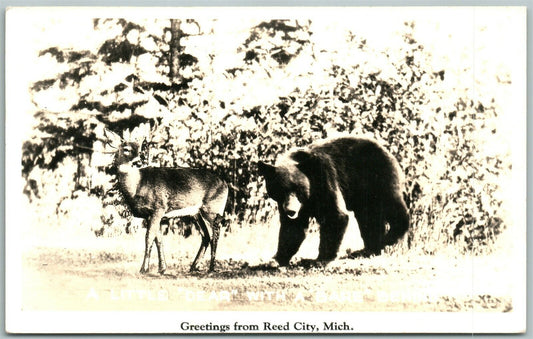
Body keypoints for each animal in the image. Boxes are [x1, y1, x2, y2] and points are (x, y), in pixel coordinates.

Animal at [104, 129, 229, 274]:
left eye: (140, 149)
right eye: (126, 149)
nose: (138, 161)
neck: (137, 186)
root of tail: (225, 184)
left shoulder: (159, 208)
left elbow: (149, 237)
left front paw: (144, 269)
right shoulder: (150, 214)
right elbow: (158, 240)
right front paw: (162, 268)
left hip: (212, 209)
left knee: (216, 234)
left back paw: (211, 267)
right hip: (196, 213)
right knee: (206, 236)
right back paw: (193, 267)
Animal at [256, 137, 408, 266]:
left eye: (298, 190)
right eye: (281, 190)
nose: (291, 210)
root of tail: (388, 151)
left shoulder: (324, 177)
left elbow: (335, 215)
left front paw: (319, 259)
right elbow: (293, 227)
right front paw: (276, 259)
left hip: (379, 177)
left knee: (392, 207)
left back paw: (389, 237)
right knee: (368, 218)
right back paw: (367, 250)